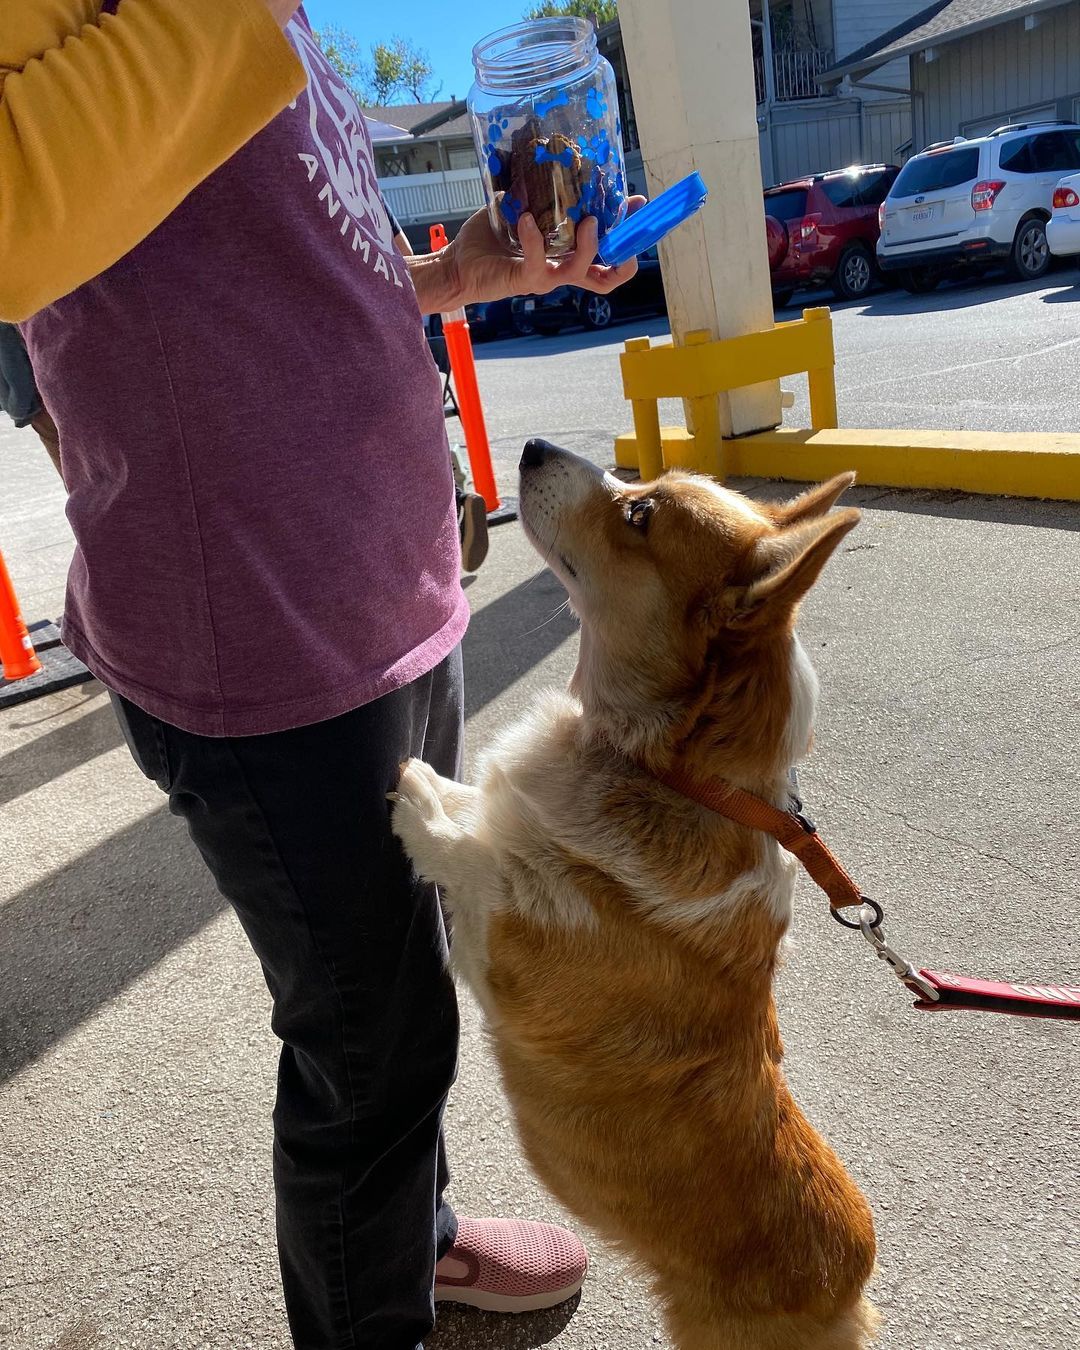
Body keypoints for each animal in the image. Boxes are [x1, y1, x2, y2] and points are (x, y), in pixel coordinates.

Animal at [394, 437, 874, 1344]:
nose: (532, 445)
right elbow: (493, 815)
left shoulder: (509, 950)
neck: (673, 773)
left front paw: (421, 799)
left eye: (640, 513)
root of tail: (851, 1287)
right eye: (640, 483)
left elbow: (482, 861)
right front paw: (451, 791)